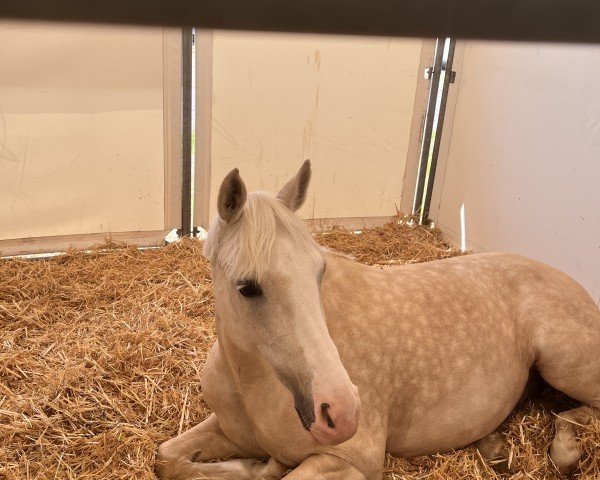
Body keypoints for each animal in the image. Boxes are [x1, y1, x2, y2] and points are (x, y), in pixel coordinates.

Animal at [156, 162, 600, 480]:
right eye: (247, 287)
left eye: (320, 270)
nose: (343, 412)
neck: (253, 382)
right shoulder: (227, 429)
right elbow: (167, 459)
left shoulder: (354, 461)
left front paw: (262, 468)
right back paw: (494, 449)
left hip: (564, 361)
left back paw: (565, 450)